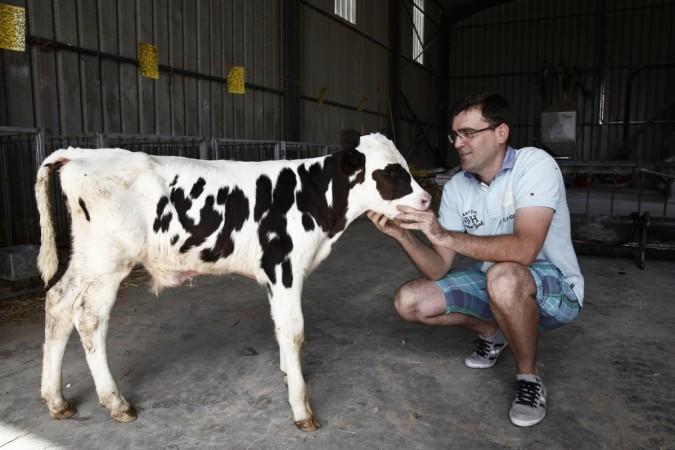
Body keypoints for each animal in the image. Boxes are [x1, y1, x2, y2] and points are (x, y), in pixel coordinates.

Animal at [34, 131, 431, 431]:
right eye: (391, 173)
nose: (427, 200)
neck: (314, 201)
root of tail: (80, 154)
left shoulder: (274, 275)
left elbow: (279, 328)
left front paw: (286, 374)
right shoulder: (284, 267)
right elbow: (294, 332)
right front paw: (301, 408)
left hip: (87, 258)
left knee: (58, 303)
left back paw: (56, 400)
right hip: (108, 261)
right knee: (89, 318)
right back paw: (116, 403)